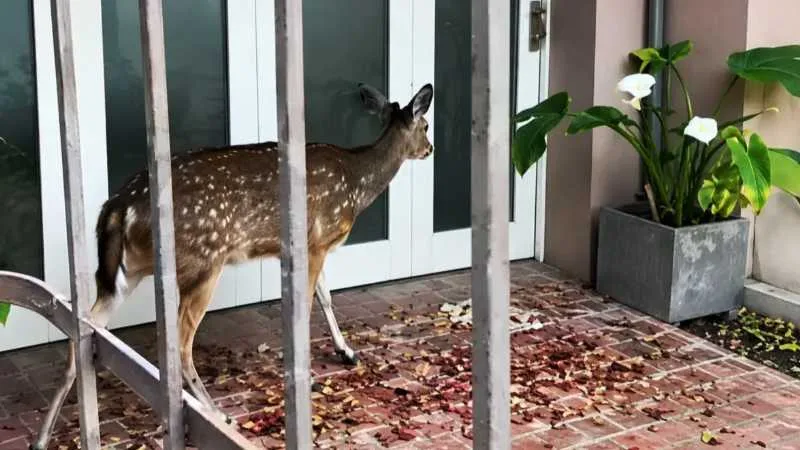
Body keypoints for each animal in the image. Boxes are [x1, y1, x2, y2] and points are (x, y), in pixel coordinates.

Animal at [32, 82, 434, 449]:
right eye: (426, 124)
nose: (430, 149)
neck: (356, 183)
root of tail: (117, 207)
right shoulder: (317, 240)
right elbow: (312, 303)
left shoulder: (307, 246)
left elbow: (326, 296)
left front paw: (346, 352)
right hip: (203, 260)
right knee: (180, 344)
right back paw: (216, 414)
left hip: (125, 272)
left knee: (81, 333)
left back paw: (42, 437)